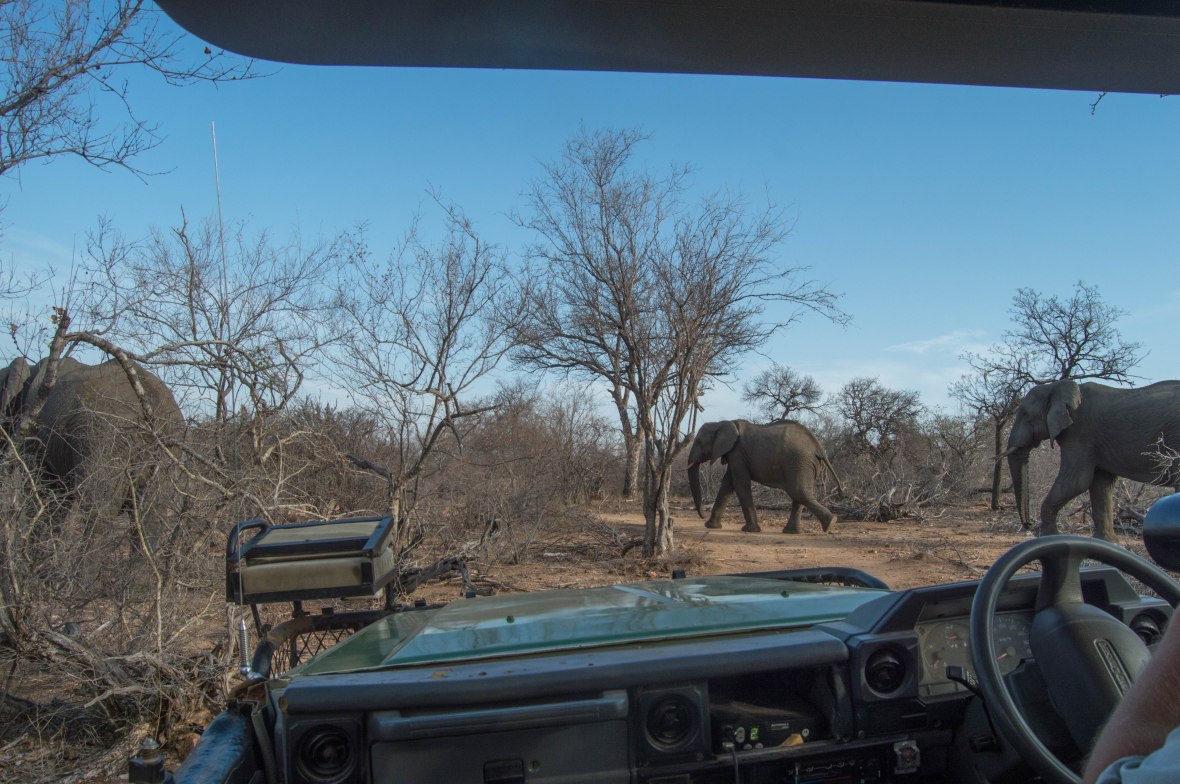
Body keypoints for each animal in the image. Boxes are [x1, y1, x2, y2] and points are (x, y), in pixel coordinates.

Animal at [687, 419, 843, 534]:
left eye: (698, 442)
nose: (702, 515)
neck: (721, 423)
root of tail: (818, 447)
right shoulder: (735, 454)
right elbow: (727, 484)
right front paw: (711, 526)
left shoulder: (737, 452)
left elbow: (740, 484)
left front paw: (750, 530)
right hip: (803, 464)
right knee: (799, 494)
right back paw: (794, 531)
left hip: (798, 461)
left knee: (798, 492)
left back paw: (830, 523)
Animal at [1006, 378, 1180, 540]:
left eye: (1025, 414)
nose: (1028, 525)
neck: (1055, 387)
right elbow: (1100, 484)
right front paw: (1107, 541)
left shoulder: (1079, 432)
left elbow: (1076, 482)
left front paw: (1049, 536)